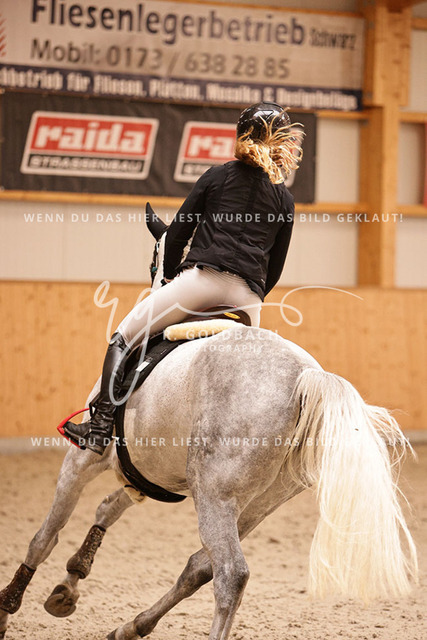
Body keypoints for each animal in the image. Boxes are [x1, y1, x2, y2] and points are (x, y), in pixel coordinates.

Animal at [0, 207, 418, 640]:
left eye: (155, 262)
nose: (157, 278)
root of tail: (305, 376)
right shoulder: (144, 473)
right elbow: (106, 509)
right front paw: (68, 586)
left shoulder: (85, 459)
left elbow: (44, 536)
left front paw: (8, 607)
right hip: (258, 502)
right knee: (201, 565)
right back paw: (133, 625)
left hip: (215, 493)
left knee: (231, 573)